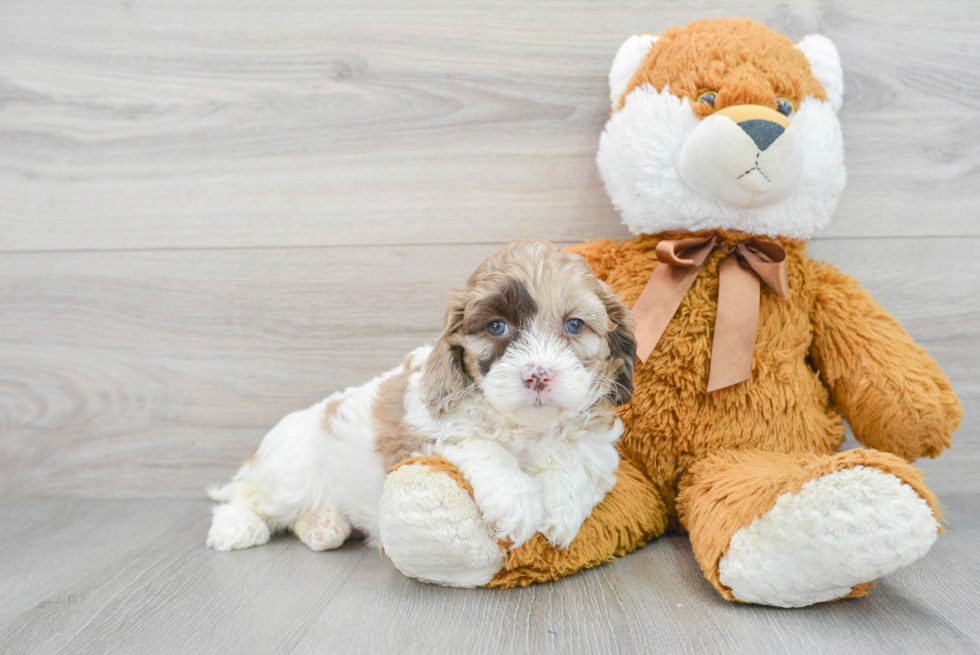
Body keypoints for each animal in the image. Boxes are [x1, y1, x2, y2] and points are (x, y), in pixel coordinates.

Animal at [206, 241, 636, 552]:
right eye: (497, 327)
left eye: (575, 325)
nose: (538, 375)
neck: (528, 428)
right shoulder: (427, 433)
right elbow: (484, 447)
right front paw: (519, 503)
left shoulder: (596, 443)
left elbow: (583, 461)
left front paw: (562, 510)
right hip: (291, 470)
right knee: (248, 497)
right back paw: (237, 526)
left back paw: (324, 525)